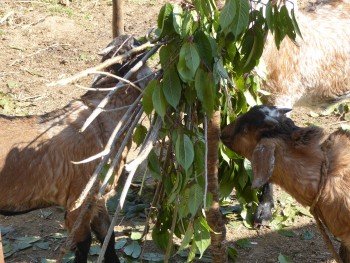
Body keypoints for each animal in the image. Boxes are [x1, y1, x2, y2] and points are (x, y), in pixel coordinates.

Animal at [0, 35, 152, 263]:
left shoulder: (96, 199)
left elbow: (108, 238)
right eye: (134, 51)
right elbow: (83, 244)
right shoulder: (78, 201)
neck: (100, 119)